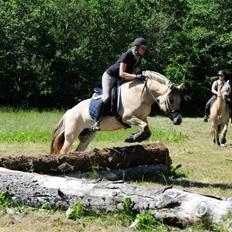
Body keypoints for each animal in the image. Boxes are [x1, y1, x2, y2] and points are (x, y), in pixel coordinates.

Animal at [49, 70, 182, 154]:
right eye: (171, 100)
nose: (178, 120)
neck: (141, 94)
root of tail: (68, 112)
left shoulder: (142, 117)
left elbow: (146, 129)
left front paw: (134, 137)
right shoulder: (127, 117)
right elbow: (145, 127)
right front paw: (133, 138)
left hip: (87, 135)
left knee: (79, 150)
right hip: (72, 134)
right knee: (64, 150)